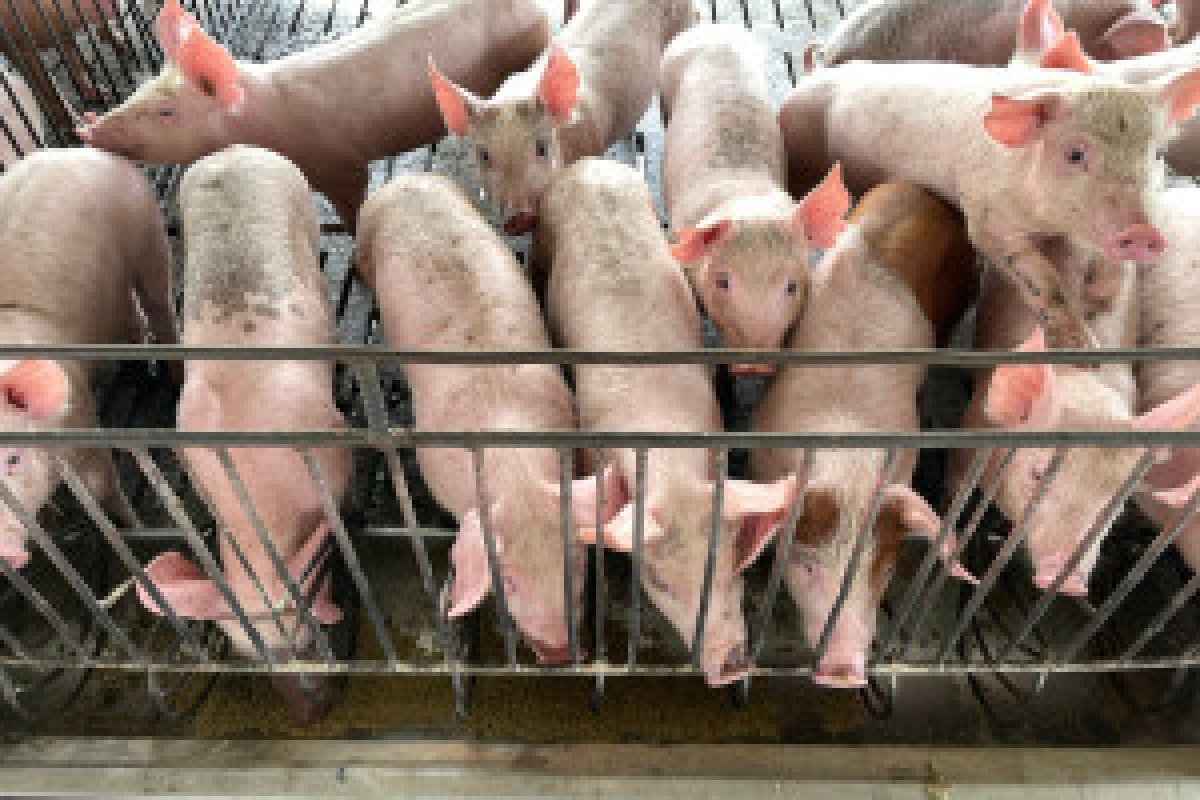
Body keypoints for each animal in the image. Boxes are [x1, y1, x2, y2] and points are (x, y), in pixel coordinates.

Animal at [0, 148, 174, 569]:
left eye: (12, 459)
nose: (6, 552)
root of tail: (77, 151)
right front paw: (49, 519)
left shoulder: (79, 414)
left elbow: (100, 487)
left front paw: (134, 528)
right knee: (130, 315)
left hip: (145, 231)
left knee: (158, 302)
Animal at [136, 146, 350, 724]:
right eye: (247, 653)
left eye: (306, 637)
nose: (309, 716)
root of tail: (232, 151)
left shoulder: (332, 441)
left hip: (298, 199)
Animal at [778, 59, 1200, 351]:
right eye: (1075, 153)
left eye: (1155, 153)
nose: (1142, 233)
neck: (1048, 223)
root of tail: (808, 79)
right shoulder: (986, 218)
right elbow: (1039, 275)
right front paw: (1085, 349)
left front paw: (1100, 301)